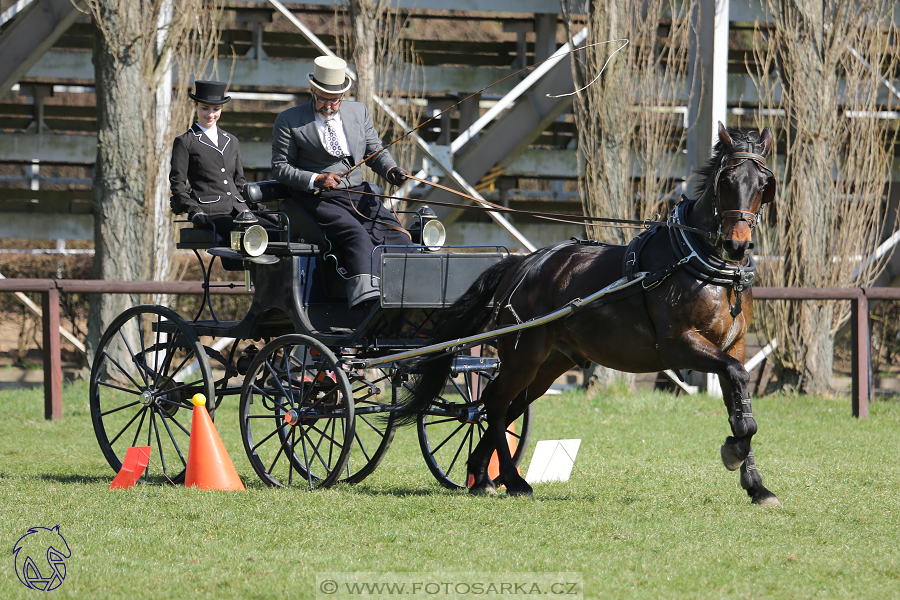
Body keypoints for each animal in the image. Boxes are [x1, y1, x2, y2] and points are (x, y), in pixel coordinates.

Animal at [400, 123, 780, 506]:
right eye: (726, 181)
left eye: (764, 184)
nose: (737, 244)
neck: (697, 260)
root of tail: (522, 263)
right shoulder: (680, 345)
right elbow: (740, 394)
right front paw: (734, 453)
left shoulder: (734, 347)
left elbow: (739, 405)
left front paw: (756, 485)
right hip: (524, 357)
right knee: (494, 403)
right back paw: (512, 480)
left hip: (548, 365)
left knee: (506, 407)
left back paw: (481, 476)